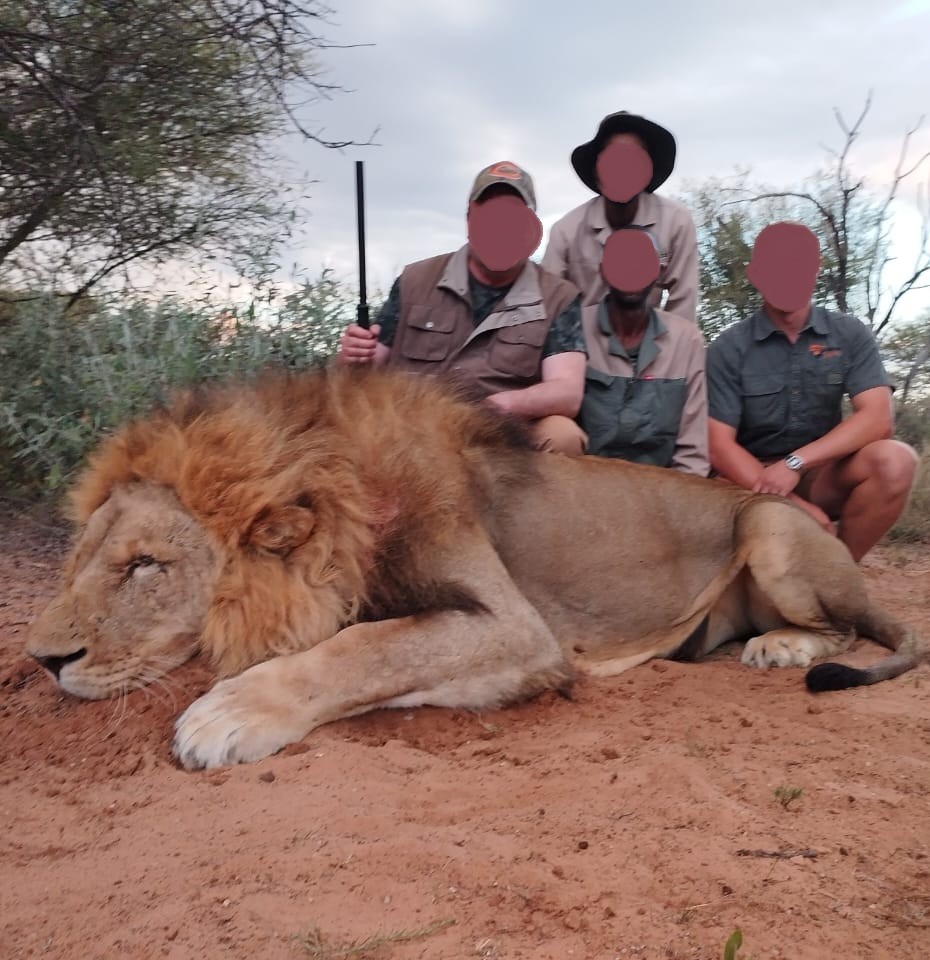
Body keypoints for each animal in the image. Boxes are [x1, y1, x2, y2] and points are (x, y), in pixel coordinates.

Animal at [26, 366, 927, 770]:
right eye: (84, 557)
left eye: (146, 565)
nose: (41, 660)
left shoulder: (519, 629)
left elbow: (364, 648)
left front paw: (227, 715)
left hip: (770, 521)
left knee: (846, 626)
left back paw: (779, 647)